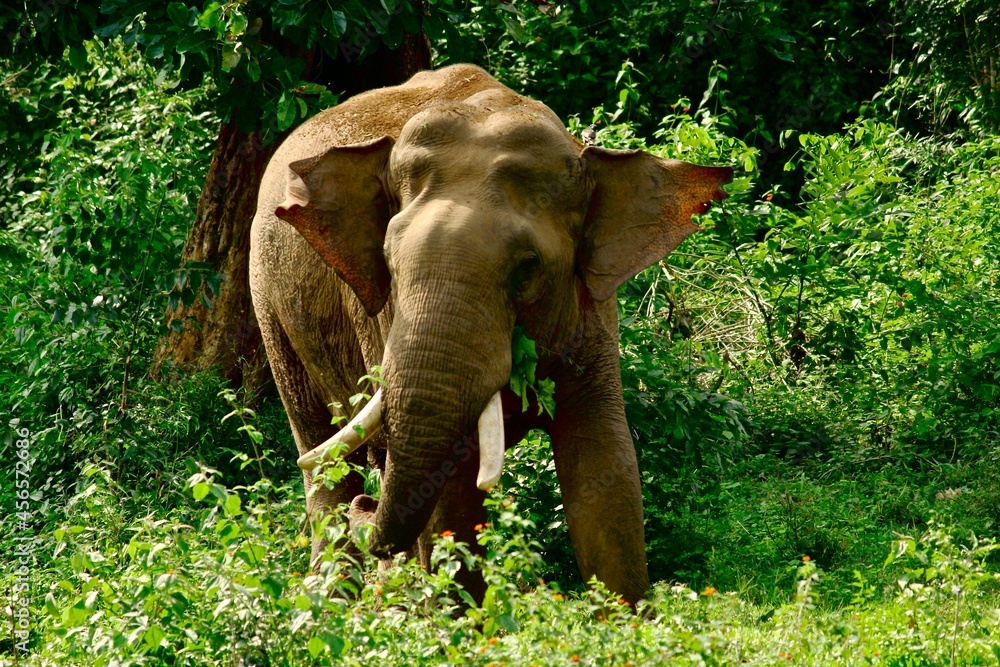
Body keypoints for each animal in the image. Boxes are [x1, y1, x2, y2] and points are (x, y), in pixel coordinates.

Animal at [248, 64, 732, 605]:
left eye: (527, 268)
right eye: (388, 263)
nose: (368, 508)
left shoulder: (592, 311)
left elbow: (605, 464)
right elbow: (450, 489)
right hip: (271, 305)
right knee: (323, 455)